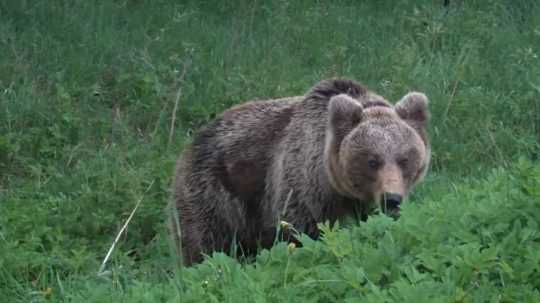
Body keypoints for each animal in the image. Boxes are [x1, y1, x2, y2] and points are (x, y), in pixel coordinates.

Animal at [169, 79, 430, 266]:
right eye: (372, 160)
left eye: (404, 159)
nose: (391, 198)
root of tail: (192, 141)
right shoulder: (302, 187)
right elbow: (300, 232)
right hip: (214, 193)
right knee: (205, 242)